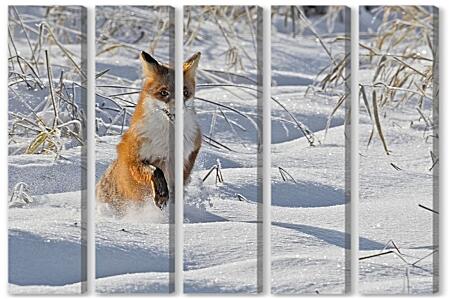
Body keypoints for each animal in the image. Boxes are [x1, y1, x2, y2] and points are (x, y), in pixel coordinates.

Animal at [97, 51, 203, 213]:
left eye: (185, 92)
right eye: (164, 92)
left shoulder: (189, 154)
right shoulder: (132, 159)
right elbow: (156, 171)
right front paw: (161, 194)